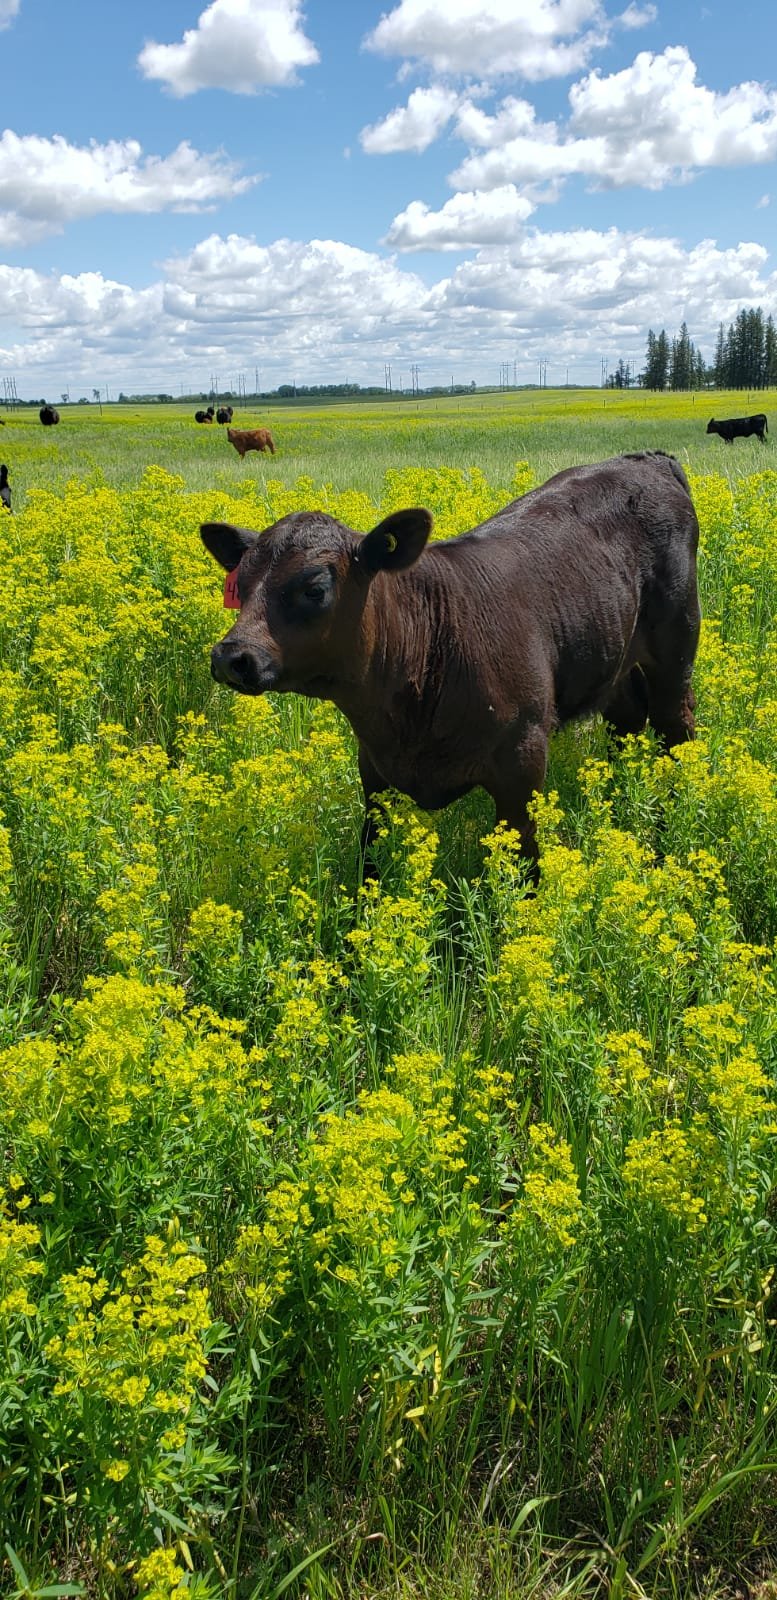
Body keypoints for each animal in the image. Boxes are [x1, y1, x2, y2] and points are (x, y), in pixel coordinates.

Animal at [203, 451, 700, 870]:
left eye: (314, 588)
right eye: (240, 586)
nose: (231, 656)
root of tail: (648, 459)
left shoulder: (523, 760)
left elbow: (524, 868)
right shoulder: (374, 770)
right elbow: (369, 858)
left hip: (677, 644)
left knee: (676, 727)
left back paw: (670, 823)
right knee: (627, 721)